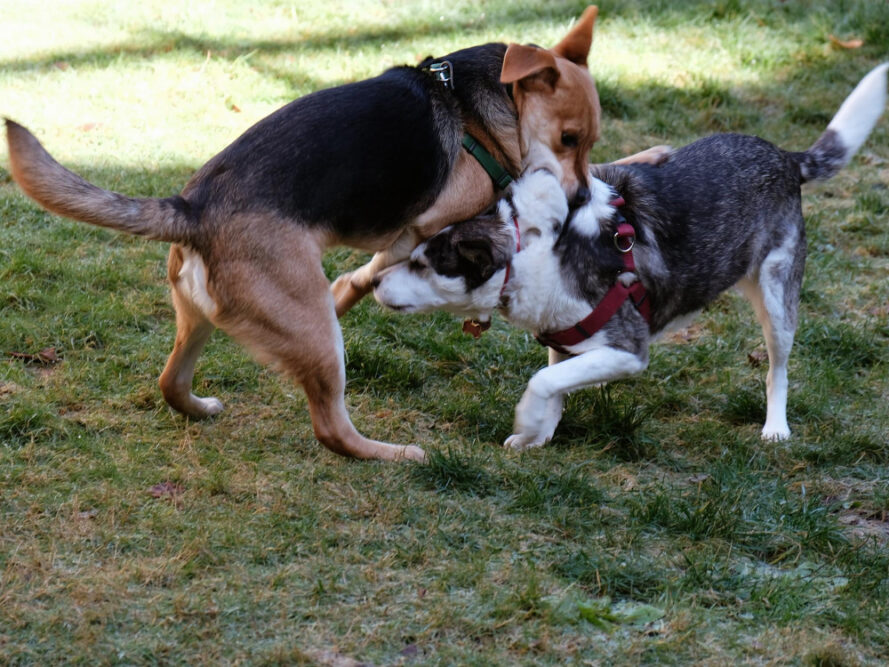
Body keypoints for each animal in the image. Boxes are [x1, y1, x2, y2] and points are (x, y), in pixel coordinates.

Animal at [6, 6, 664, 464]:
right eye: (568, 138)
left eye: (586, 138)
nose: (578, 201)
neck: (475, 106)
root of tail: (192, 208)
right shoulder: (439, 218)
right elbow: (386, 265)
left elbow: (365, 274)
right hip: (318, 338)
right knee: (331, 428)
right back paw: (394, 454)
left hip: (200, 318)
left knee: (171, 381)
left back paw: (199, 405)